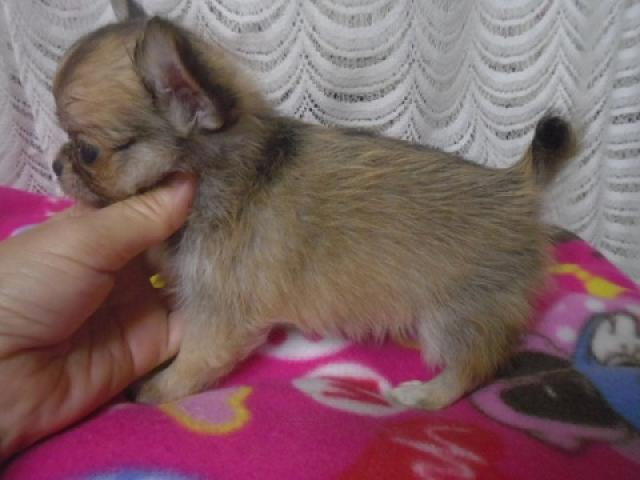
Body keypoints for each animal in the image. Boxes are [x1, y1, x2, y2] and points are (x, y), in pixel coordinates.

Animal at [52, 0, 576, 408]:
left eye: (88, 151)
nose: (56, 164)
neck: (227, 176)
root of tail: (518, 185)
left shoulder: (218, 315)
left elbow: (194, 361)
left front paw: (156, 390)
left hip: (454, 314)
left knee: (476, 364)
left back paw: (426, 395)